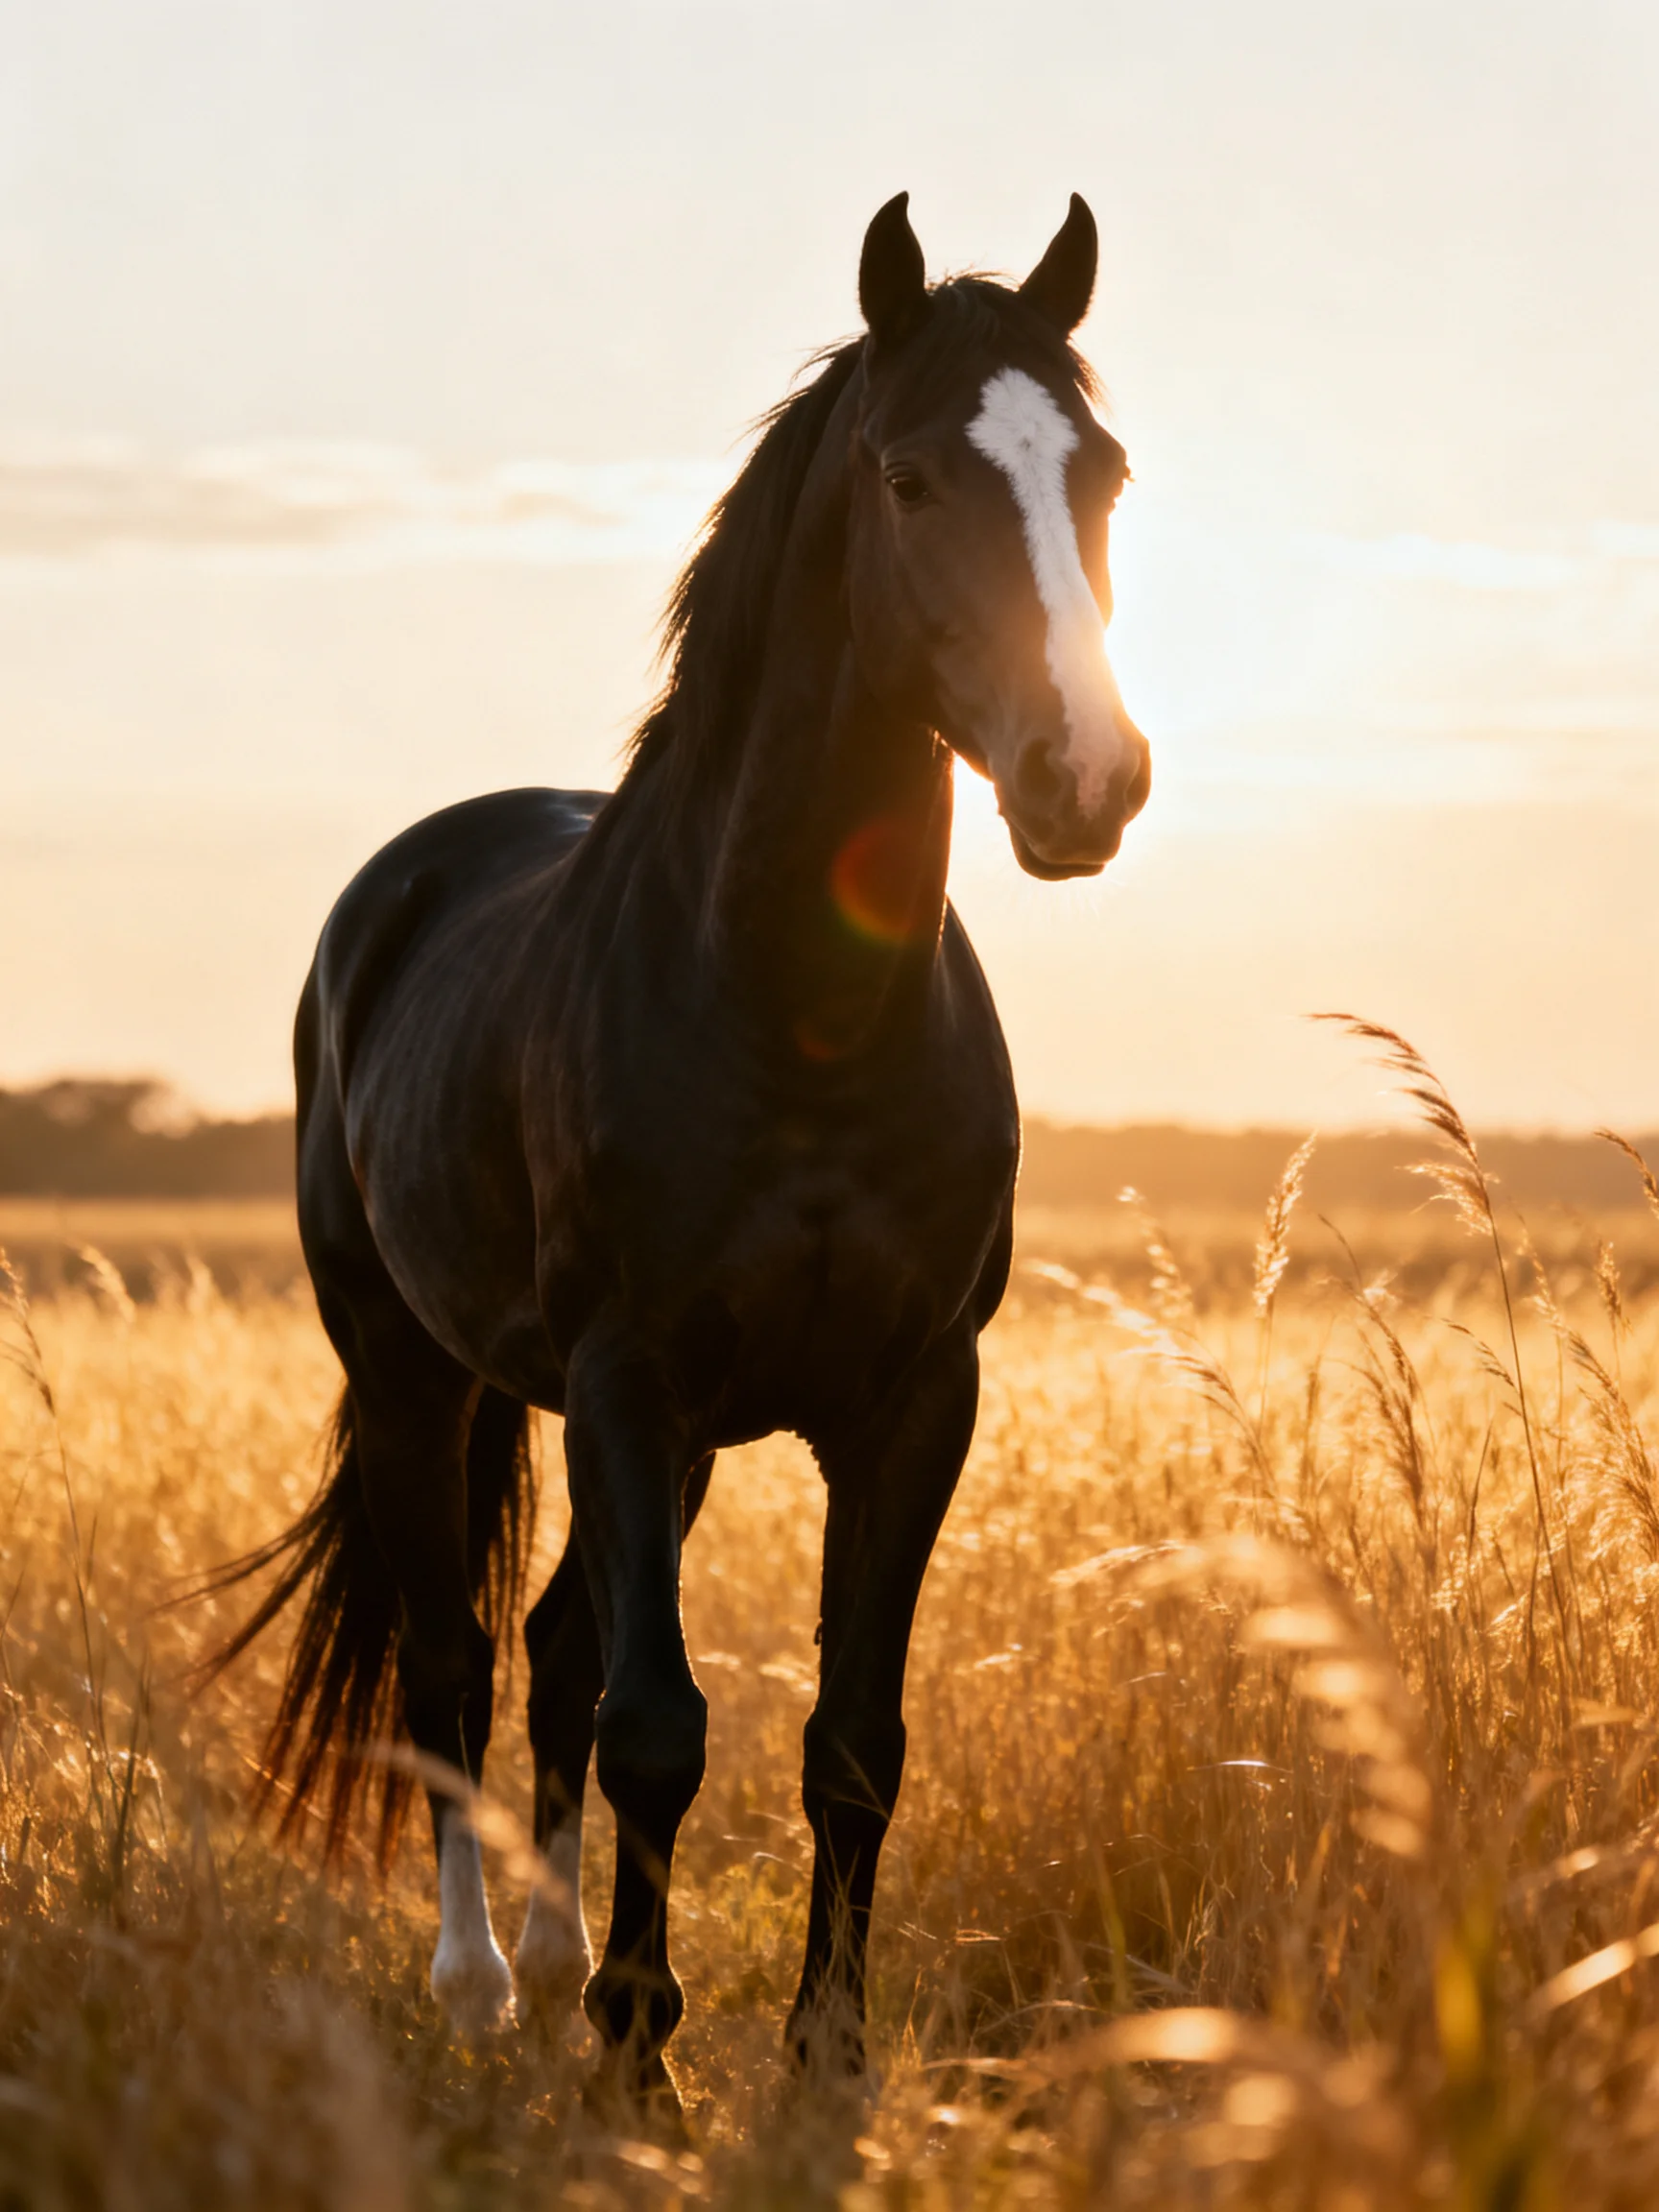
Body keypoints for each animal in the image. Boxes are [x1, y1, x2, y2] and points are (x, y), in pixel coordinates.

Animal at [217, 190, 1149, 2114]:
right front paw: (638, 2059)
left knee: (555, 1649)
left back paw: (559, 1956)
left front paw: (820, 2063)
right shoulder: (627, 1374)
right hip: (420, 1373)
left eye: (1099, 471)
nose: (1085, 779)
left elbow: (847, 1737)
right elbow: (658, 1724)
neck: (792, 1013)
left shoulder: (909, 1397)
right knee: (455, 1664)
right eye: (907, 478)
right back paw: (487, 1987)